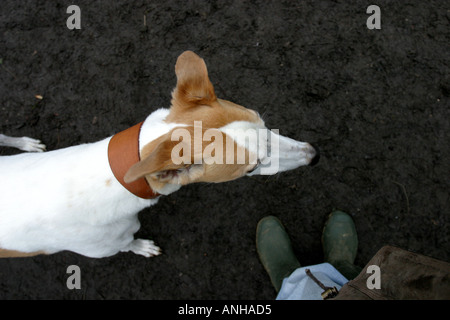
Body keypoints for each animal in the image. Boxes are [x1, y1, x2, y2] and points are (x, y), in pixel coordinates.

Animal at [0, 51, 318, 258]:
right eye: (251, 168)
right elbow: (127, 244)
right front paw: (142, 247)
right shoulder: (105, 246)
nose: (314, 155)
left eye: (263, 123)